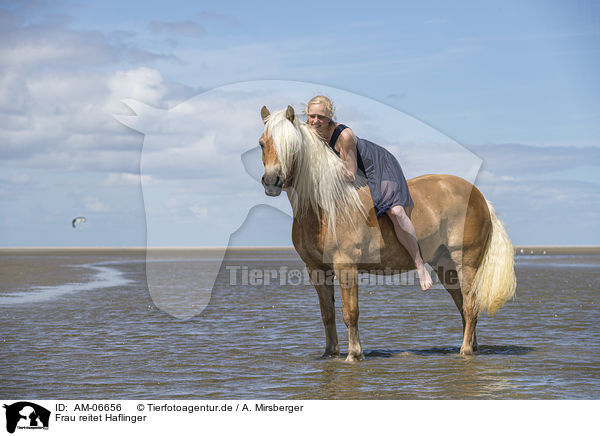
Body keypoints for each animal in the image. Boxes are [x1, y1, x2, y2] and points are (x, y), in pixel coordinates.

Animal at [258, 105, 516, 362]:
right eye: (262, 143)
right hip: (446, 266)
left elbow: (350, 312)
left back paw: (465, 351)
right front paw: (330, 353)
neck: (324, 207)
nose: (272, 181)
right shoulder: (316, 270)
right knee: (463, 306)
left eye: (291, 146)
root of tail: (480, 197)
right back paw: (471, 346)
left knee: (471, 305)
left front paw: (354, 354)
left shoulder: (345, 266)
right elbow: (327, 314)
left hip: (466, 263)